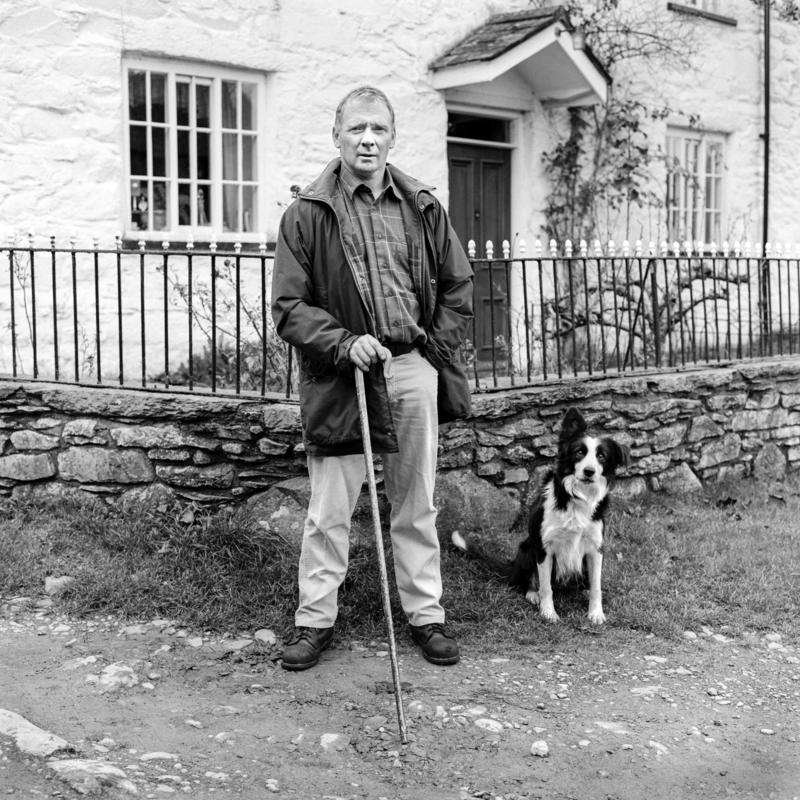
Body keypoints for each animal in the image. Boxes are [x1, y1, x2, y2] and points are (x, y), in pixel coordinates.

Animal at [454, 410, 628, 628]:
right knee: (528, 582)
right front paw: (548, 613)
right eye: (579, 452)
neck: (577, 496)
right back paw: (532, 595)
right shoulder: (545, 547)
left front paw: (596, 613)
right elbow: (546, 587)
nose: (589, 472)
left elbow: (596, 587)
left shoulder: (595, 547)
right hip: (527, 548)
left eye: (601, 456)